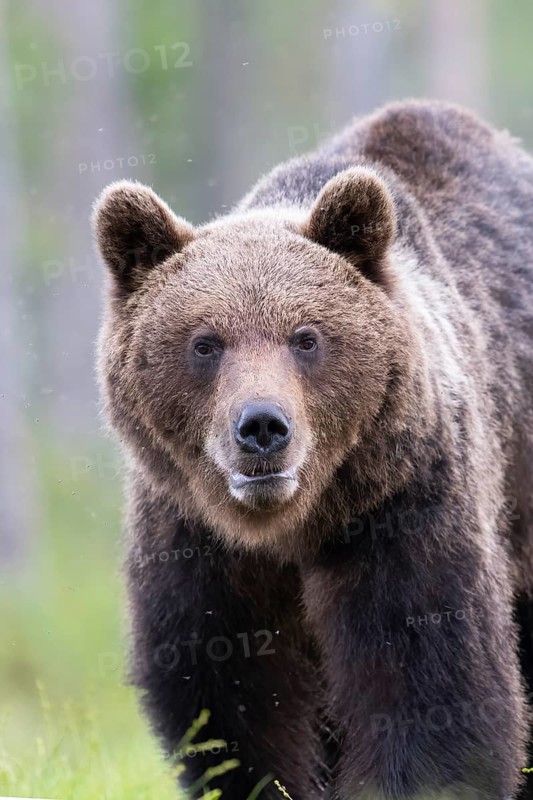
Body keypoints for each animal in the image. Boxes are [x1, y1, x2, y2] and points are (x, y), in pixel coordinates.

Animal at [92, 99, 533, 800]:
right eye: (205, 342)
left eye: (306, 337)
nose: (262, 427)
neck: (290, 526)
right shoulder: (197, 538)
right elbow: (234, 696)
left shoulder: (403, 504)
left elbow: (426, 680)